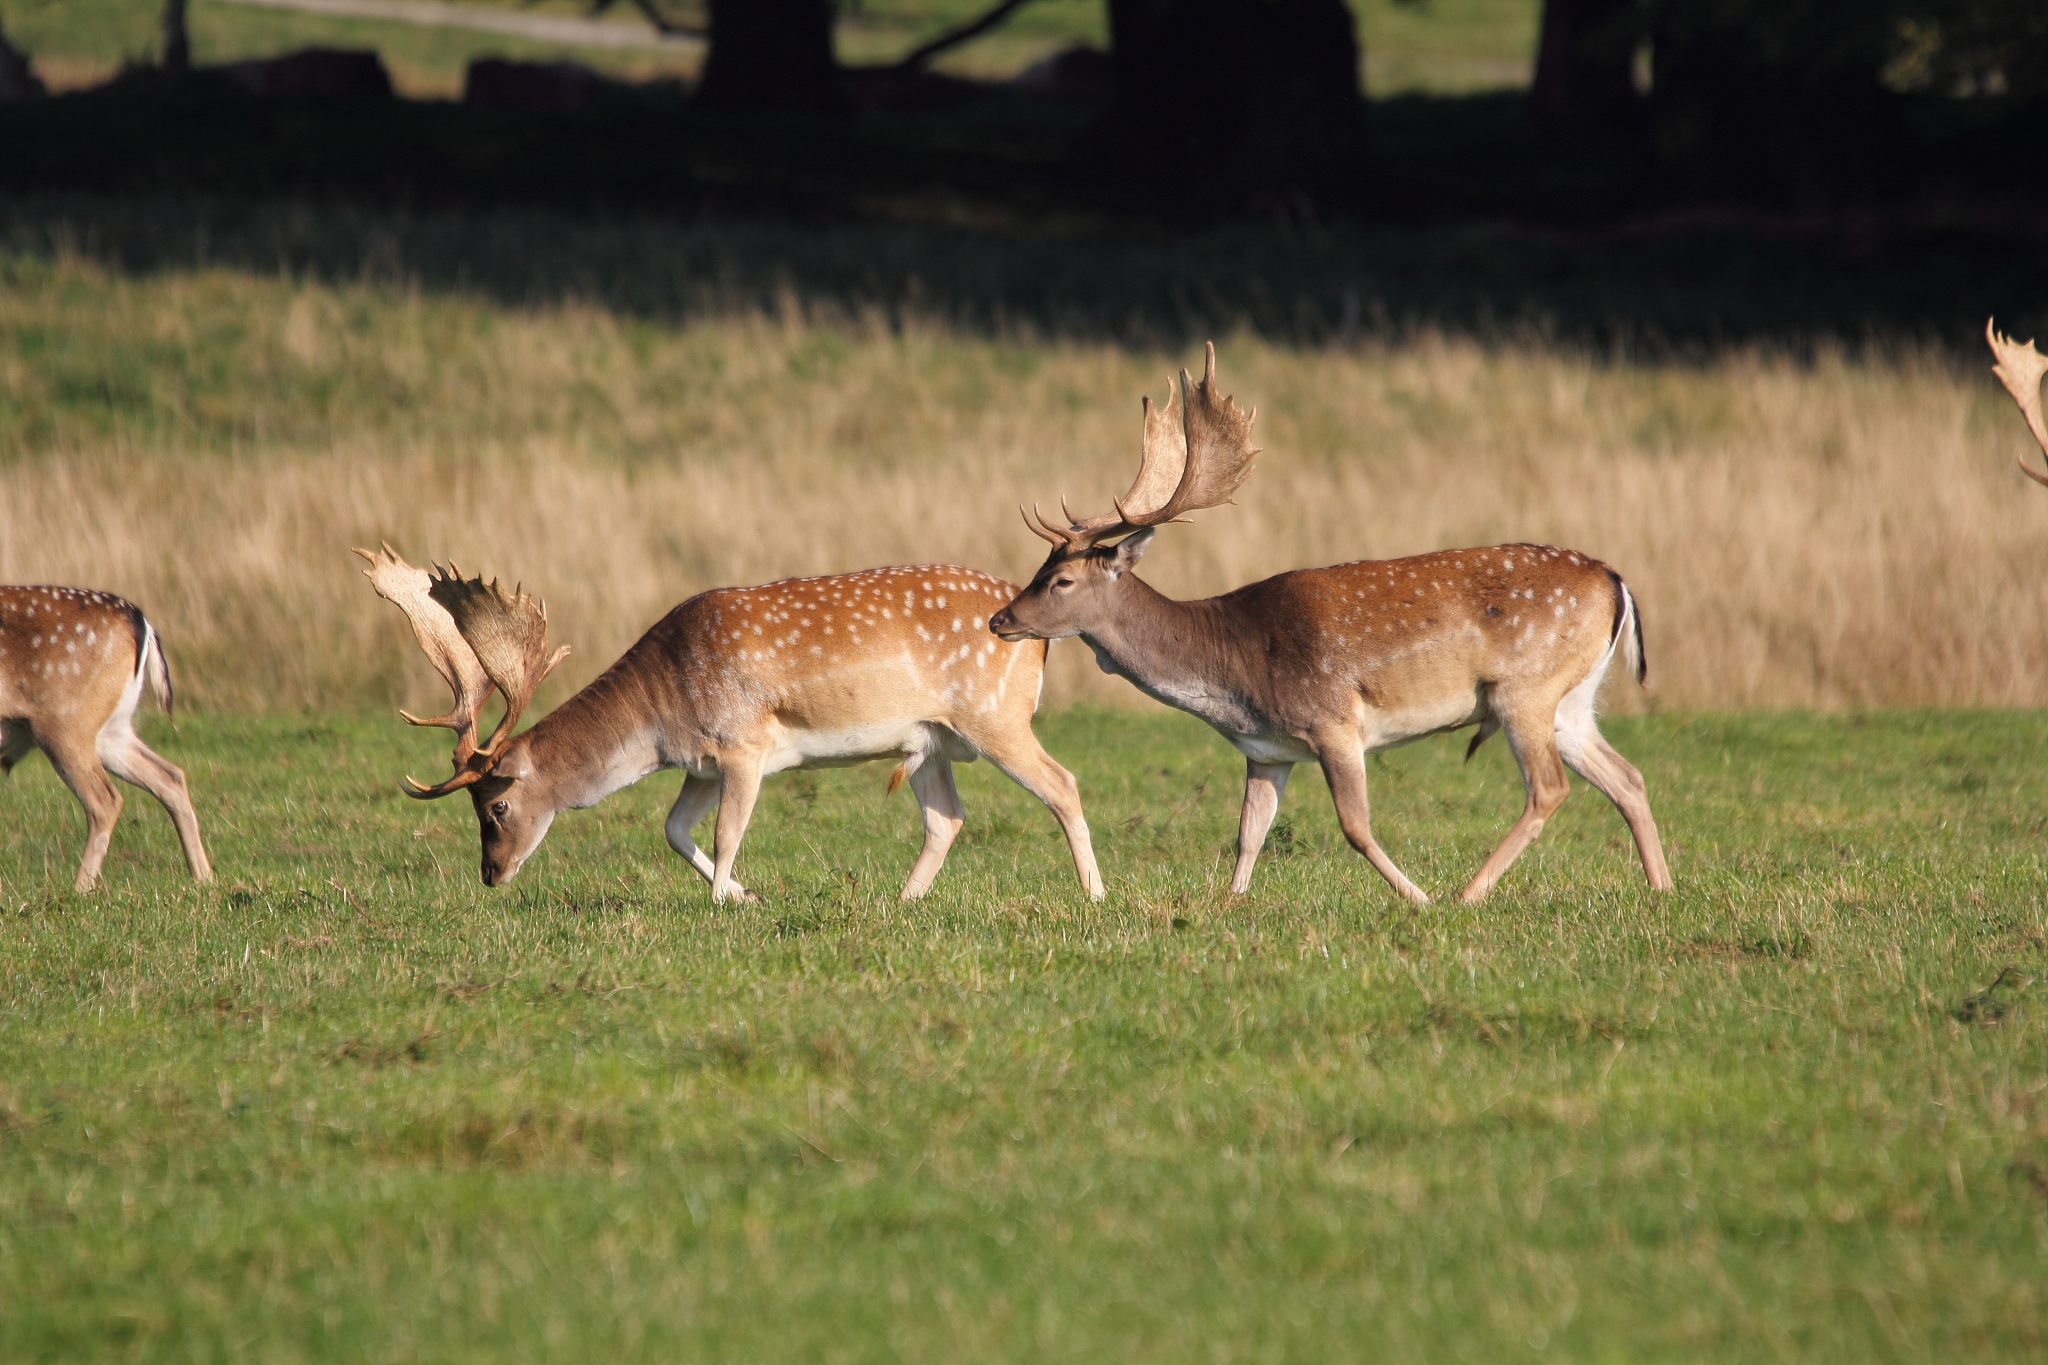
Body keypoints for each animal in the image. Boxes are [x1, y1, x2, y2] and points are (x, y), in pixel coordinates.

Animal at [0, 586, 213, 891]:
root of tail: (140, 620)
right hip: (111, 729)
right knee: (170, 776)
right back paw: (204, 879)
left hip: (65, 724)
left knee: (105, 801)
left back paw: (79, 890)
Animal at [356, 546, 1104, 902]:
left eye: (497, 806)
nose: (490, 873)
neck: (662, 711)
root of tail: (1032, 630)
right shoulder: (701, 763)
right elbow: (673, 828)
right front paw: (746, 894)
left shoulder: (746, 746)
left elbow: (725, 831)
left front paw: (724, 900)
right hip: (930, 739)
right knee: (947, 817)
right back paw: (901, 901)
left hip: (995, 716)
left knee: (1064, 782)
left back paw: (1095, 895)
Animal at [987, 344, 1672, 905]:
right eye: (1039, 568)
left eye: (1061, 580)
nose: (1000, 619)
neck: (1230, 676)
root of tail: (1615, 580)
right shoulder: (1267, 750)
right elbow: (1249, 833)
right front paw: (1229, 903)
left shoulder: (1333, 720)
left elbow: (1355, 827)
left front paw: (1417, 898)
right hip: (1572, 698)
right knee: (1629, 778)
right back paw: (1662, 887)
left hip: (1523, 688)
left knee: (1550, 788)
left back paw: (1467, 893)